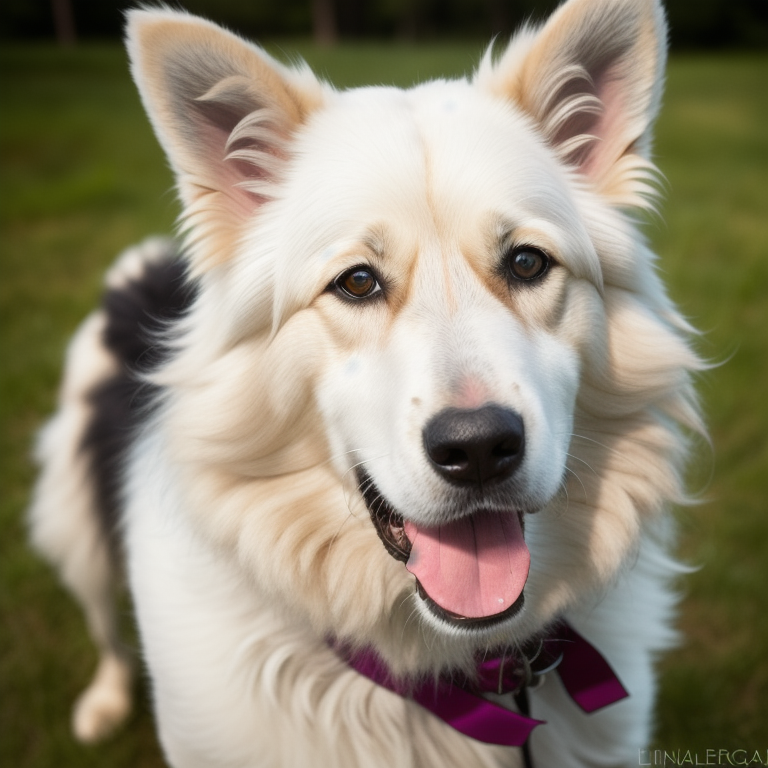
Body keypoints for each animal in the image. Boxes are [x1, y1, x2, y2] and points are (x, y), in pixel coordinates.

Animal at [28, 0, 704, 764]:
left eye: (528, 263)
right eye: (356, 282)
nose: (479, 448)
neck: (442, 669)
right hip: (73, 528)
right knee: (105, 627)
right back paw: (105, 702)